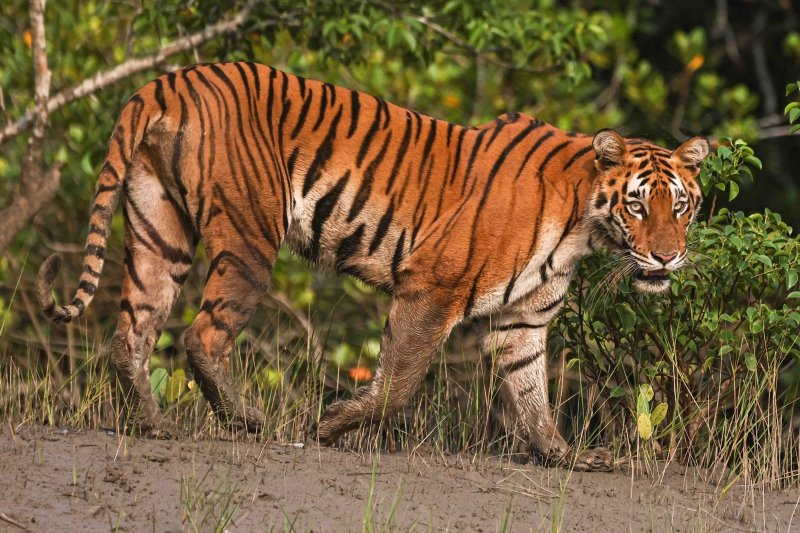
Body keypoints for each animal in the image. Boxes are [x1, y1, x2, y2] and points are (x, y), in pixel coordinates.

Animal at [37, 62, 708, 471]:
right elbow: (399, 380)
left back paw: (156, 429)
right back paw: (247, 418)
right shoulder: (432, 287)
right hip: (251, 240)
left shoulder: (524, 319)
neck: (583, 228)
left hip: (160, 232)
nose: (667, 254)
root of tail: (171, 80)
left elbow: (532, 394)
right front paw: (332, 426)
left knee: (132, 333)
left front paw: (566, 457)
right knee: (201, 335)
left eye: (680, 205)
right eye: (637, 204)